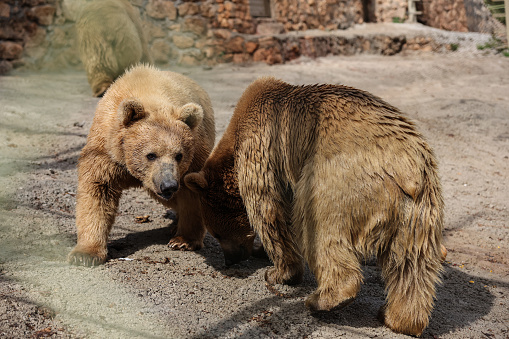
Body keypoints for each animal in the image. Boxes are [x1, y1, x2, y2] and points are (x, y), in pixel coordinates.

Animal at [68, 63, 214, 266]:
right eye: (151, 155)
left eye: (179, 155)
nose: (168, 185)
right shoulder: (107, 151)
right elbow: (97, 190)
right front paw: (85, 254)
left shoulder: (193, 158)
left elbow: (192, 194)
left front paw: (183, 240)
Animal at [185, 77, 442, 338]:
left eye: (216, 233)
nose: (229, 261)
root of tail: (406, 166)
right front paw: (261, 253)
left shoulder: (263, 153)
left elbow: (270, 214)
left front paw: (278, 273)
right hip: (417, 211)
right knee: (411, 265)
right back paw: (398, 318)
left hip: (337, 182)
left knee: (319, 230)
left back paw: (323, 299)